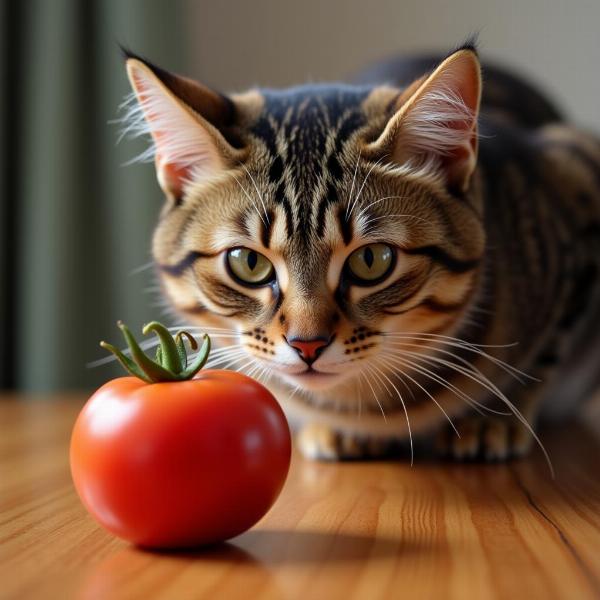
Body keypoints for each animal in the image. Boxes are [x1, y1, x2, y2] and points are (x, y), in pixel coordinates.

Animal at [122, 42, 600, 466]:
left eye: (371, 261)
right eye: (248, 263)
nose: (307, 344)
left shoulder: (574, 170)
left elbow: (544, 356)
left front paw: (493, 419)